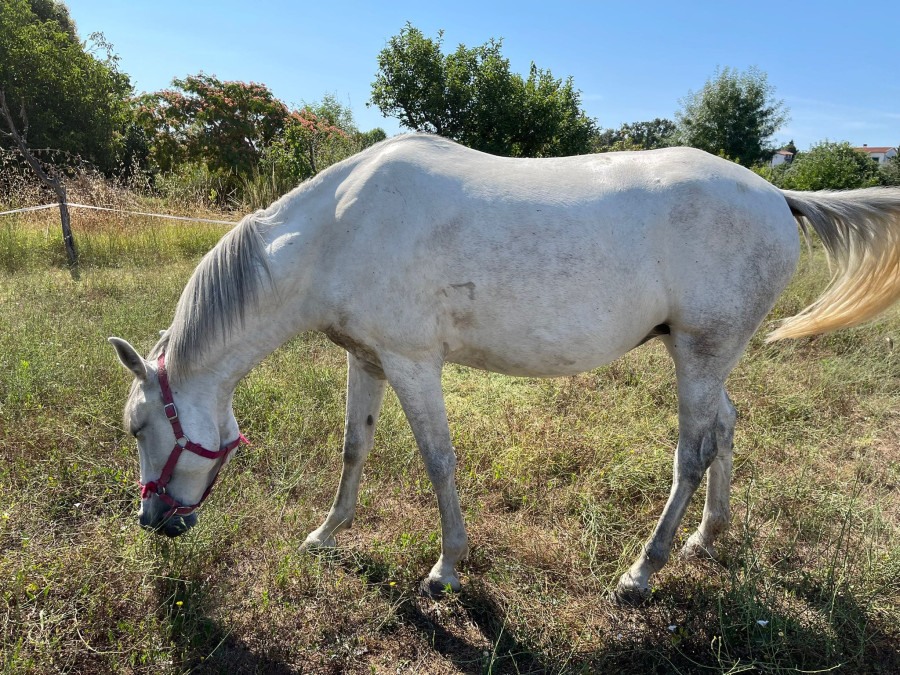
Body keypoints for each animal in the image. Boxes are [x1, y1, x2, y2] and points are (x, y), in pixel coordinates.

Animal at [108, 133, 900, 603]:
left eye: (138, 426)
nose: (155, 521)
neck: (338, 230)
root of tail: (779, 195)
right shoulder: (366, 358)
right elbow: (354, 448)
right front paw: (325, 535)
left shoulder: (412, 363)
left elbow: (438, 462)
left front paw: (446, 568)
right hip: (702, 356)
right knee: (728, 428)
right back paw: (708, 537)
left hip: (700, 357)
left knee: (693, 452)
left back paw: (643, 570)